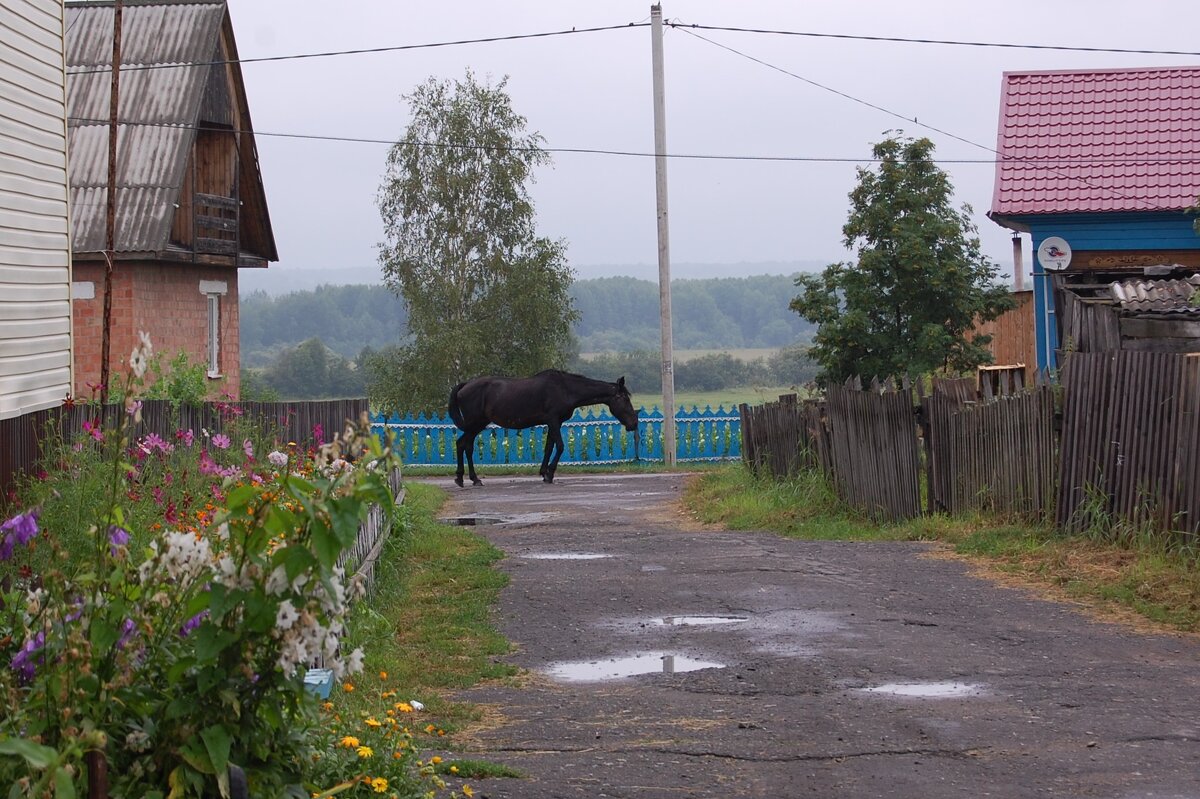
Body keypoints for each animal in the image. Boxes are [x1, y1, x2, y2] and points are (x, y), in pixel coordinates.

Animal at [448, 369, 638, 484]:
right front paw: (550, 473)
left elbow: (549, 447)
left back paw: (468, 478)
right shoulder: (553, 420)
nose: (634, 423)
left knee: (465, 446)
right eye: (624, 398)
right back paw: (467, 478)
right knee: (463, 445)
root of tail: (464, 385)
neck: (565, 388)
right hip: (474, 423)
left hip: (477, 425)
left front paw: (544, 472)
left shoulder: (553, 423)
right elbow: (560, 446)